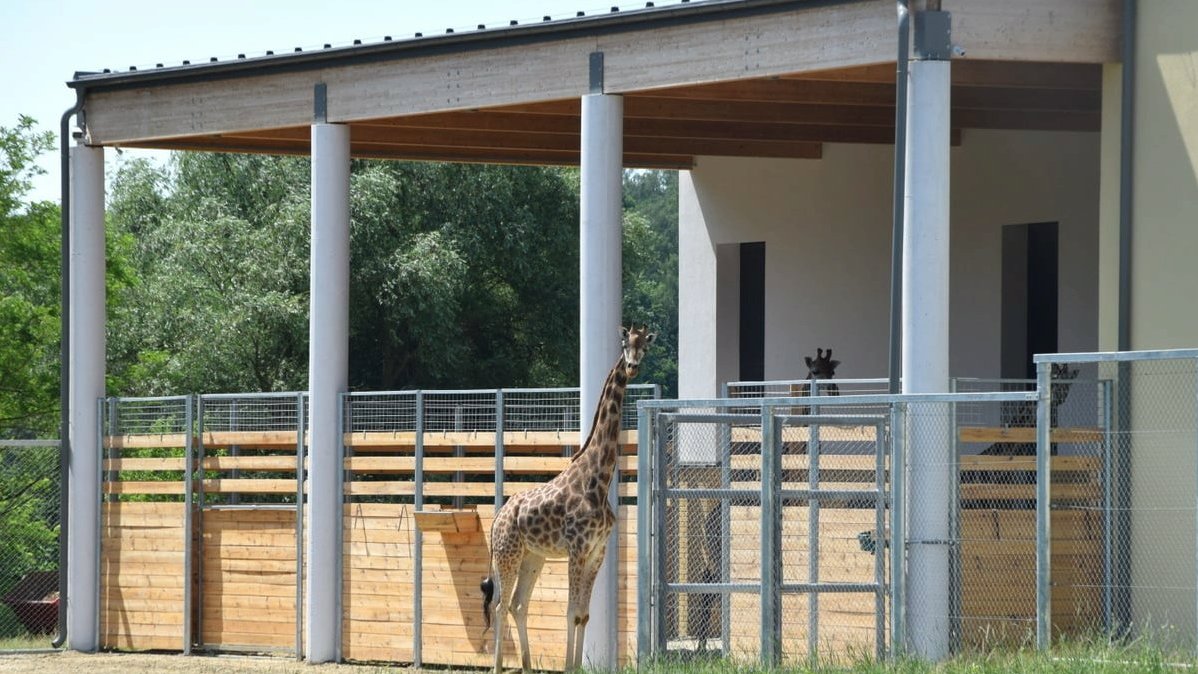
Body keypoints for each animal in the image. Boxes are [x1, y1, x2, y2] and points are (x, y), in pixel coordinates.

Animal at [476, 323, 656, 670]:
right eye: (624, 343)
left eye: (644, 346)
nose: (632, 366)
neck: (599, 480)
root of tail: (496, 519)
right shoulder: (577, 548)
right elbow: (571, 612)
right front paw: (569, 666)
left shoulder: (597, 551)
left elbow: (583, 615)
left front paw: (576, 665)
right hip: (507, 554)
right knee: (501, 605)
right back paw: (498, 666)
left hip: (533, 557)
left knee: (519, 604)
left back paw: (527, 666)